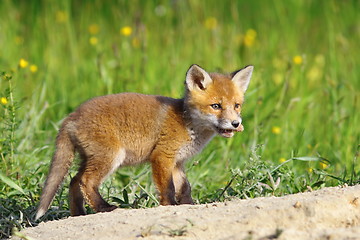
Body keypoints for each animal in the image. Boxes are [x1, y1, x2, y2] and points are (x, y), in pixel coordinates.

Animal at [34, 63, 253, 219]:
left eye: (237, 105)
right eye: (216, 106)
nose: (236, 123)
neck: (187, 123)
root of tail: (71, 116)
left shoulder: (177, 162)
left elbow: (185, 187)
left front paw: (188, 204)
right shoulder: (162, 156)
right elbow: (168, 187)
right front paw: (170, 205)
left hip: (91, 158)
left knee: (74, 181)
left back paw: (79, 214)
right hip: (110, 157)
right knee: (85, 182)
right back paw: (104, 208)